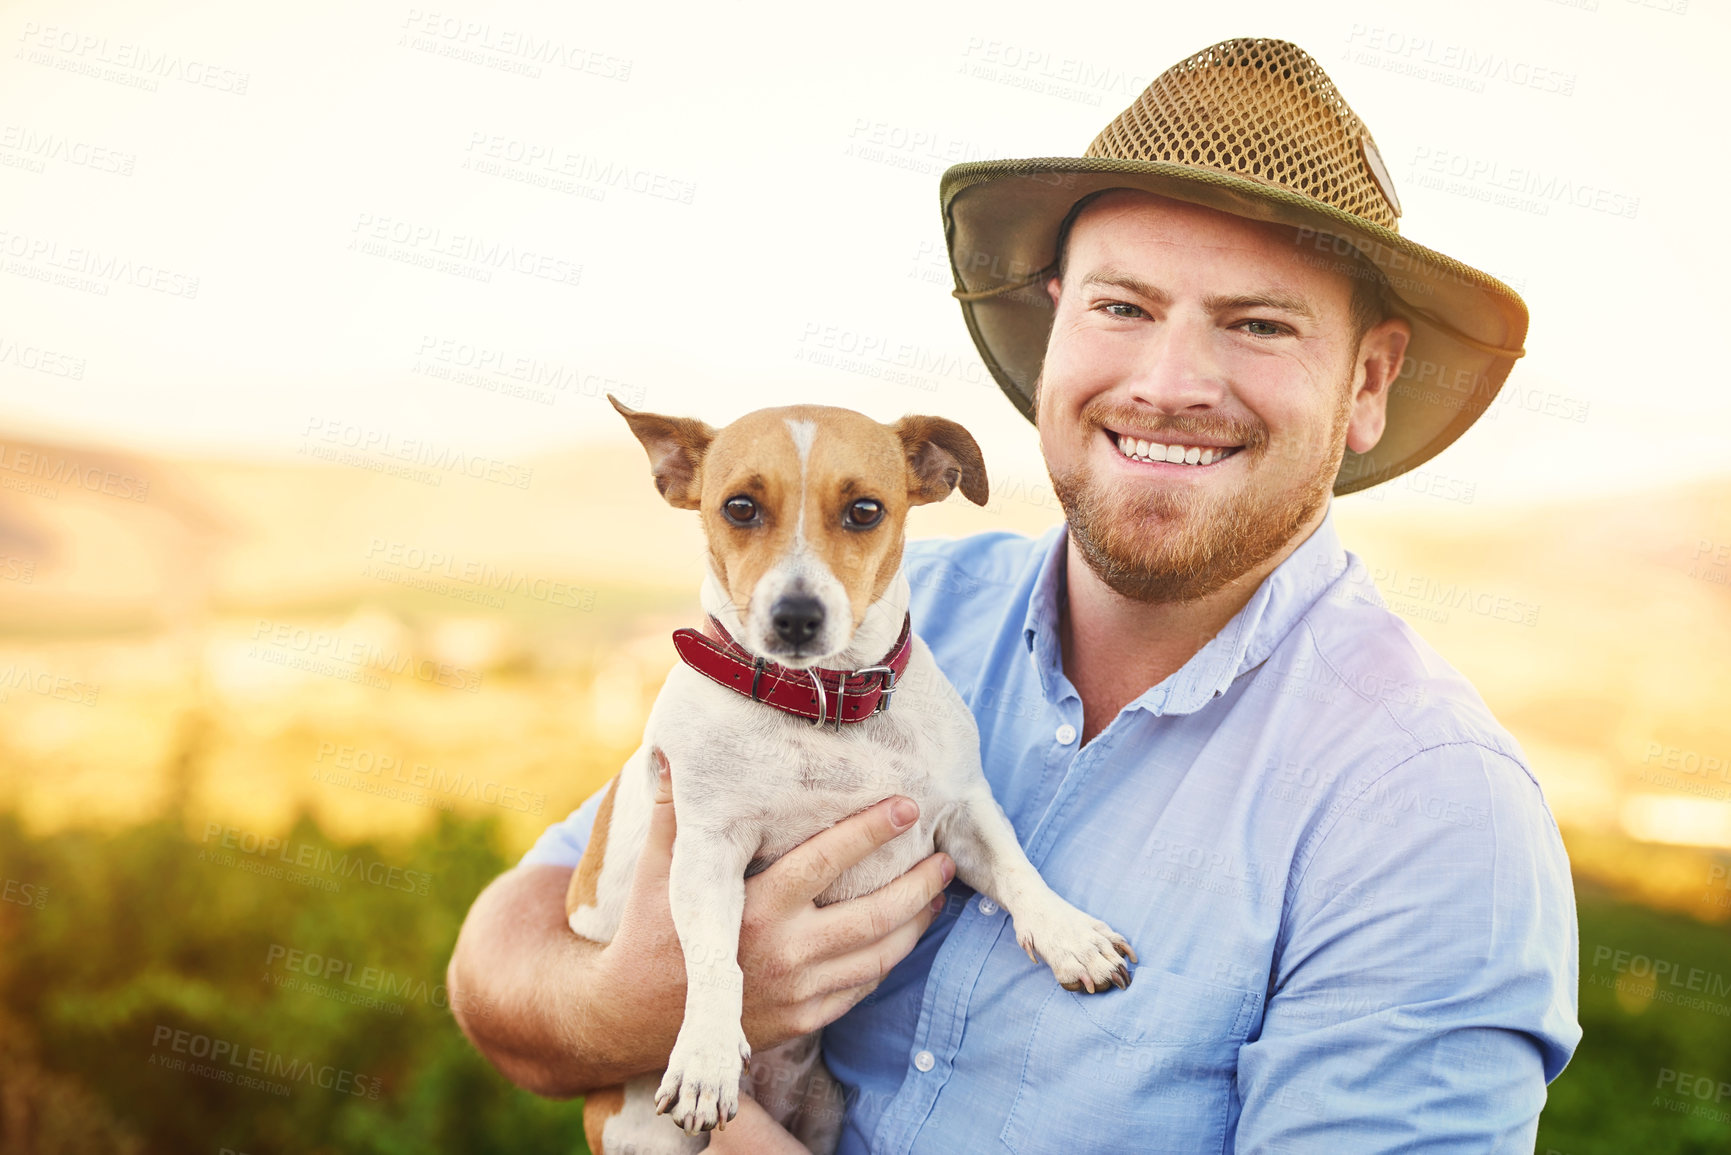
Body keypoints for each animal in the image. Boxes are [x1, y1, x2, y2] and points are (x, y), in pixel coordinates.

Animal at [567, 393, 1135, 1149]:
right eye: (739, 507)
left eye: (865, 510)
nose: (796, 616)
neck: (823, 702)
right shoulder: (706, 852)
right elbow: (714, 956)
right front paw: (706, 1055)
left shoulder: (962, 810)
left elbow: (1018, 870)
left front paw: (1068, 934)